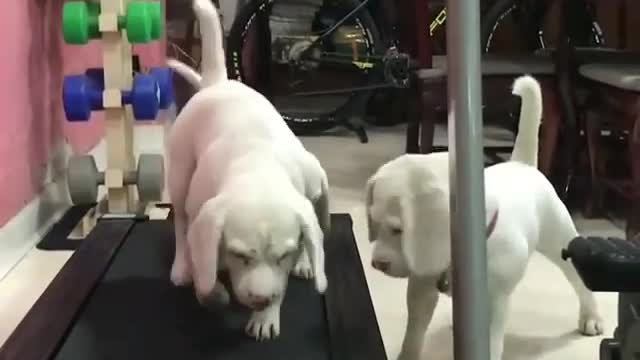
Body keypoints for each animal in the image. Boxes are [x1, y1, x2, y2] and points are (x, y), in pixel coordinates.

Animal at [165, 0, 330, 340]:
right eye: (240, 256)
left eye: (283, 256)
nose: (261, 300)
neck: (259, 168)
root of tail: (218, 83)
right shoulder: (203, 222)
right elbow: (203, 272)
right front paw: (213, 293)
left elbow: (306, 240)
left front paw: (267, 314)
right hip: (179, 176)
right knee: (181, 226)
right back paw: (181, 266)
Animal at [364, 74, 604, 358]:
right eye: (375, 224)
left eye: (398, 230)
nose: (378, 264)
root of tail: (522, 164)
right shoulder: (422, 286)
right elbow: (414, 332)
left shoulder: (492, 303)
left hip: (560, 240)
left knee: (579, 280)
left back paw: (591, 316)